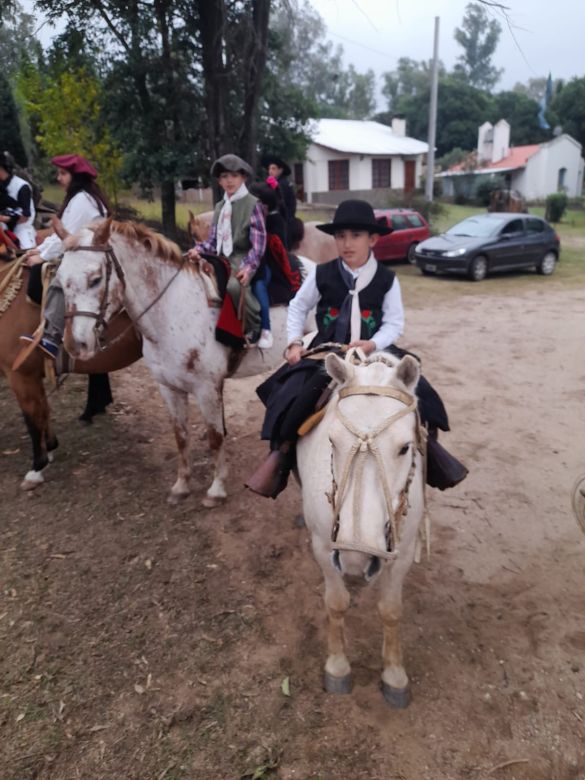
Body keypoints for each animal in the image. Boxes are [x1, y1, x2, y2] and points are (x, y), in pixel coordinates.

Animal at [0, 262, 141, 494]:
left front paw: (36, 469)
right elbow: (43, 411)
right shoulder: (33, 377)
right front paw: (50, 449)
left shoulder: (20, 376)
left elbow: (32, 419)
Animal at [56, 219, 314, 506]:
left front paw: (216, 489)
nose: (75, 345)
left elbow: (215, 437)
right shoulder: (168, 388)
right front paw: (181, 485)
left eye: (96, 279)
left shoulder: (207, 389)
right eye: (60, 279)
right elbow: (181, 436)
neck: (172, 310)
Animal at [296, 348, 424, 708]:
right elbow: (336, 603)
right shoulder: (324, 548)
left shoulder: (402, 554)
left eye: (405, 447)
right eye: (332, 440)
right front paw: (338, 666)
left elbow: (391, 611)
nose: (355, 560)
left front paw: (394, 674)